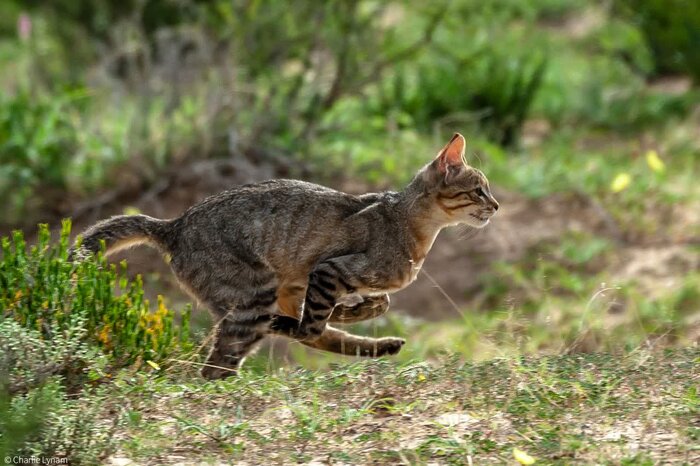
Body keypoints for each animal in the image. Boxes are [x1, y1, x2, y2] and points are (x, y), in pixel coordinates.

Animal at [71, 133, 498, 380]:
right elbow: (313, 323)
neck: (411, 225)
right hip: (252, 294)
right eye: (478, 190)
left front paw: (363, 309)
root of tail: (173, 225)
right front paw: (359, 309)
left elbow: (343, 313)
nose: (496, 206)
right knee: (222, 362)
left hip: (272, 287)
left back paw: (382, 345)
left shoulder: (305, 281)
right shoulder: (329, 269)